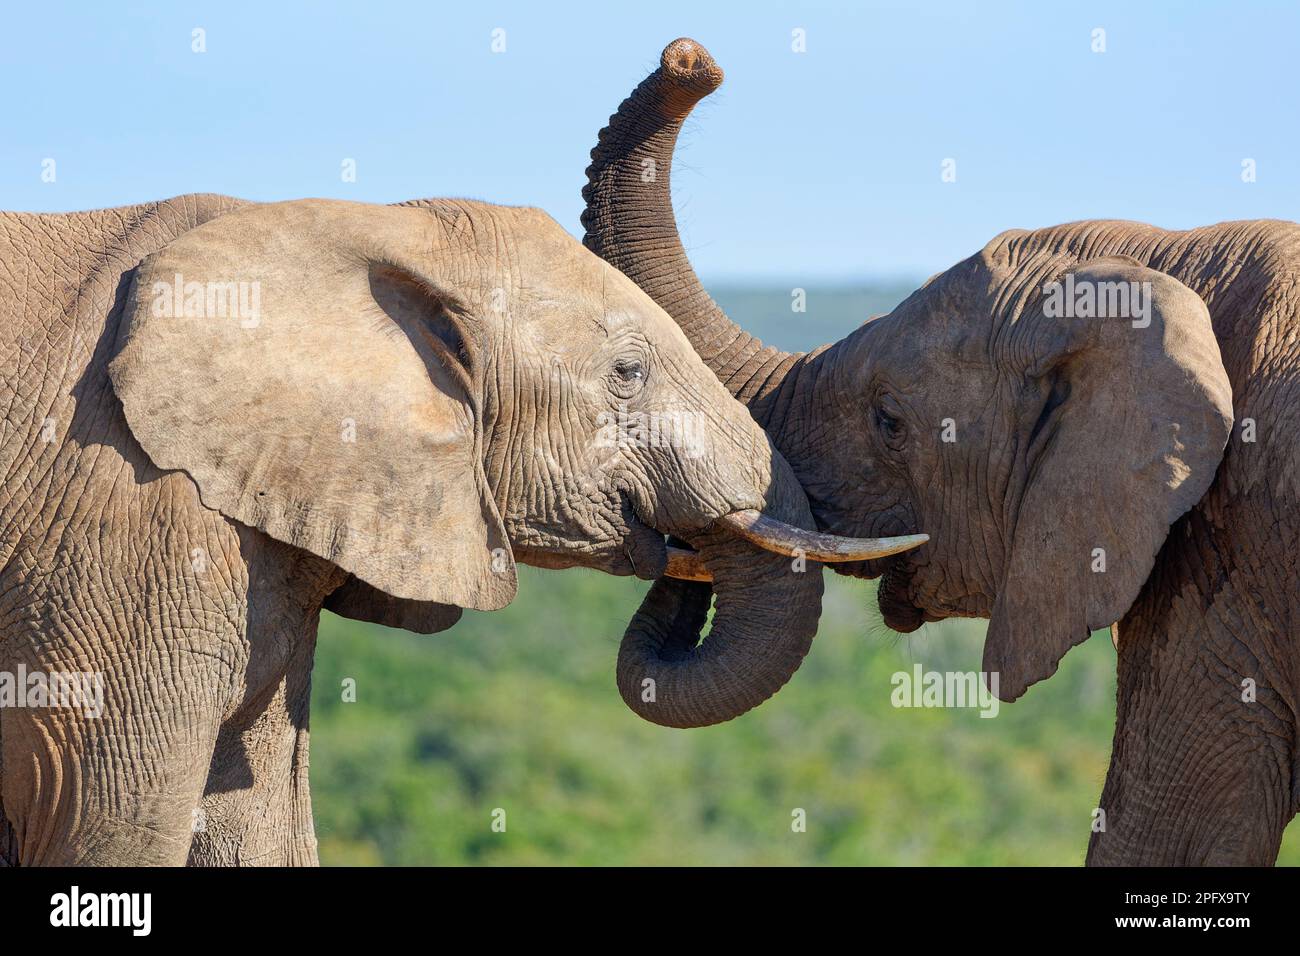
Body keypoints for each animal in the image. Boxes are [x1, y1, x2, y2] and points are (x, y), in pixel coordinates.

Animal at [0, 195, 925, 868]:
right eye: (628, 374)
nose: (679, 544)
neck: (374, 227)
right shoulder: (124, 518)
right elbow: (118, 824)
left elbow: (254, 824)